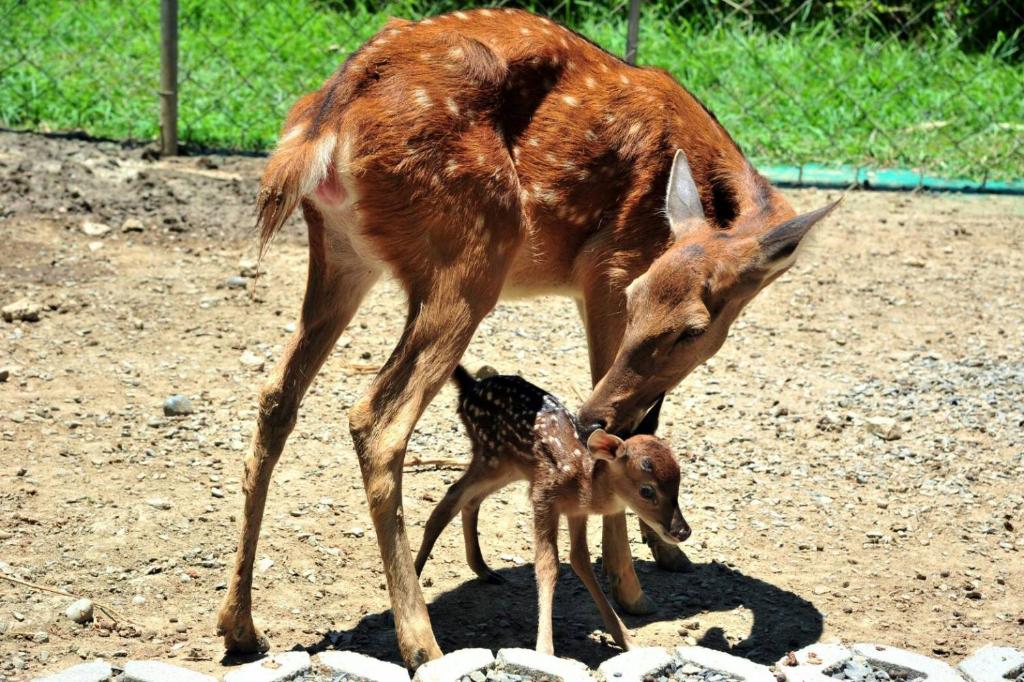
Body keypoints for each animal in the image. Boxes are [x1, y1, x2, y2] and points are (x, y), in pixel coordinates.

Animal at [413, 366, 688, 655]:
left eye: (679, 482)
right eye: (647, 490)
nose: (683, 531)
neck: (582, 483)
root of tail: (470, 386)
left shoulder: (576, 513)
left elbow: (580, 560)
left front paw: (627, 640)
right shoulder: (544, 497)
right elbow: (548, 564)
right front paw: (545, 648)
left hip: (509, 466)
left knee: (468, 500)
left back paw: (484, 570)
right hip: (492, 456)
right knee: (451, 497)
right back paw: (416, 576)